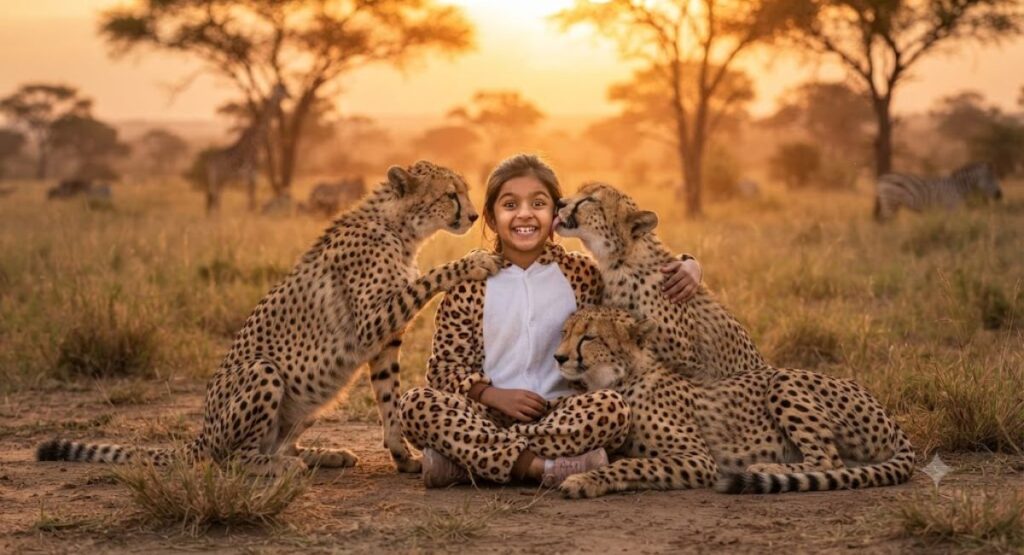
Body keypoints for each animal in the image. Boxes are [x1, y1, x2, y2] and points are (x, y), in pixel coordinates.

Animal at [37, 161, 502, 475]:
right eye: (450, 194)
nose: (472, 215)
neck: (398, 228)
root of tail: (202, 432)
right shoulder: (371, 323)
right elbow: (428, 279)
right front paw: (472, 262)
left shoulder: (383, 341)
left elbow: (389, 399)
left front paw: (402, 456)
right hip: (264, 372)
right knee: (235, 460)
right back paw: (282, 468)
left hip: (316, 394)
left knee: (276, 445)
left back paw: (323, 455)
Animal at [553, 306, 915, 498]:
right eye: (565, 332)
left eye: (589, 337)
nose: (558, 357)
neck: (623, 377)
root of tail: (886, 413)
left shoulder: (699, 459)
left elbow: (631, 464)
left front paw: (585, 480)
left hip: (783, 381)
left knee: (829, 460)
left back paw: (765, 468)